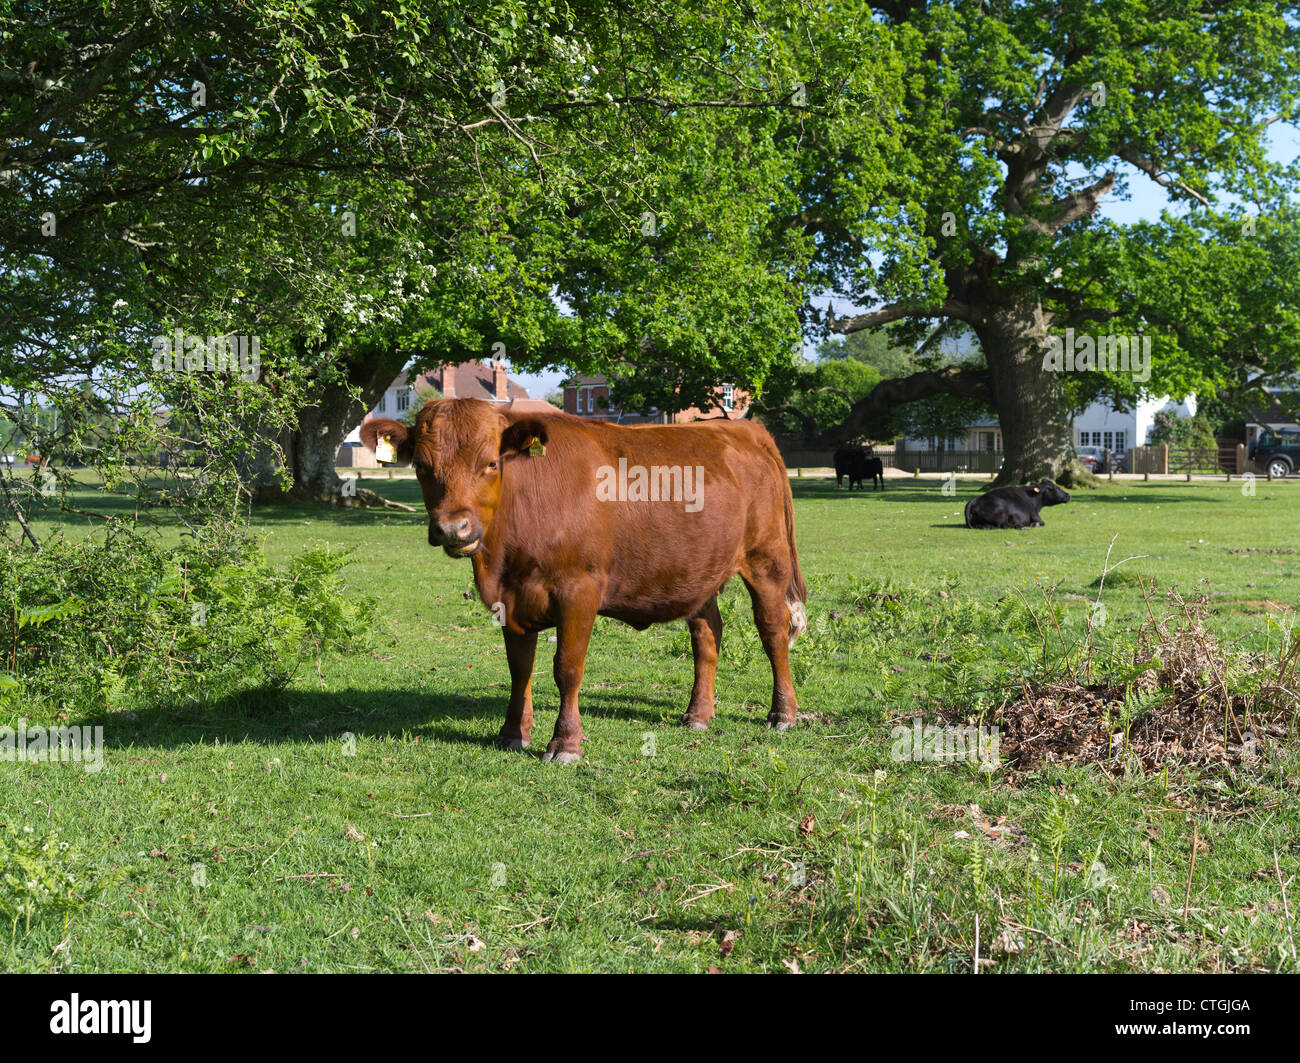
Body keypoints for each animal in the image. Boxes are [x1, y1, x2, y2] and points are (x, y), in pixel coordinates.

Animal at [361, 400, 806, 764]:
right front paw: (512, 734)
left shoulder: (579, 591)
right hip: (699, 571)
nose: (454, 528)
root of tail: (745, 429)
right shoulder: (510, 598)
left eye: (490, 463)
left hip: (766, 560)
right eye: (421, 467)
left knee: (772, 631)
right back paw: (697, 715)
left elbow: (567, 668)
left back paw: (783, 714)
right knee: (707, 635)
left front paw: (566, 744)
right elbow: (520, 667)